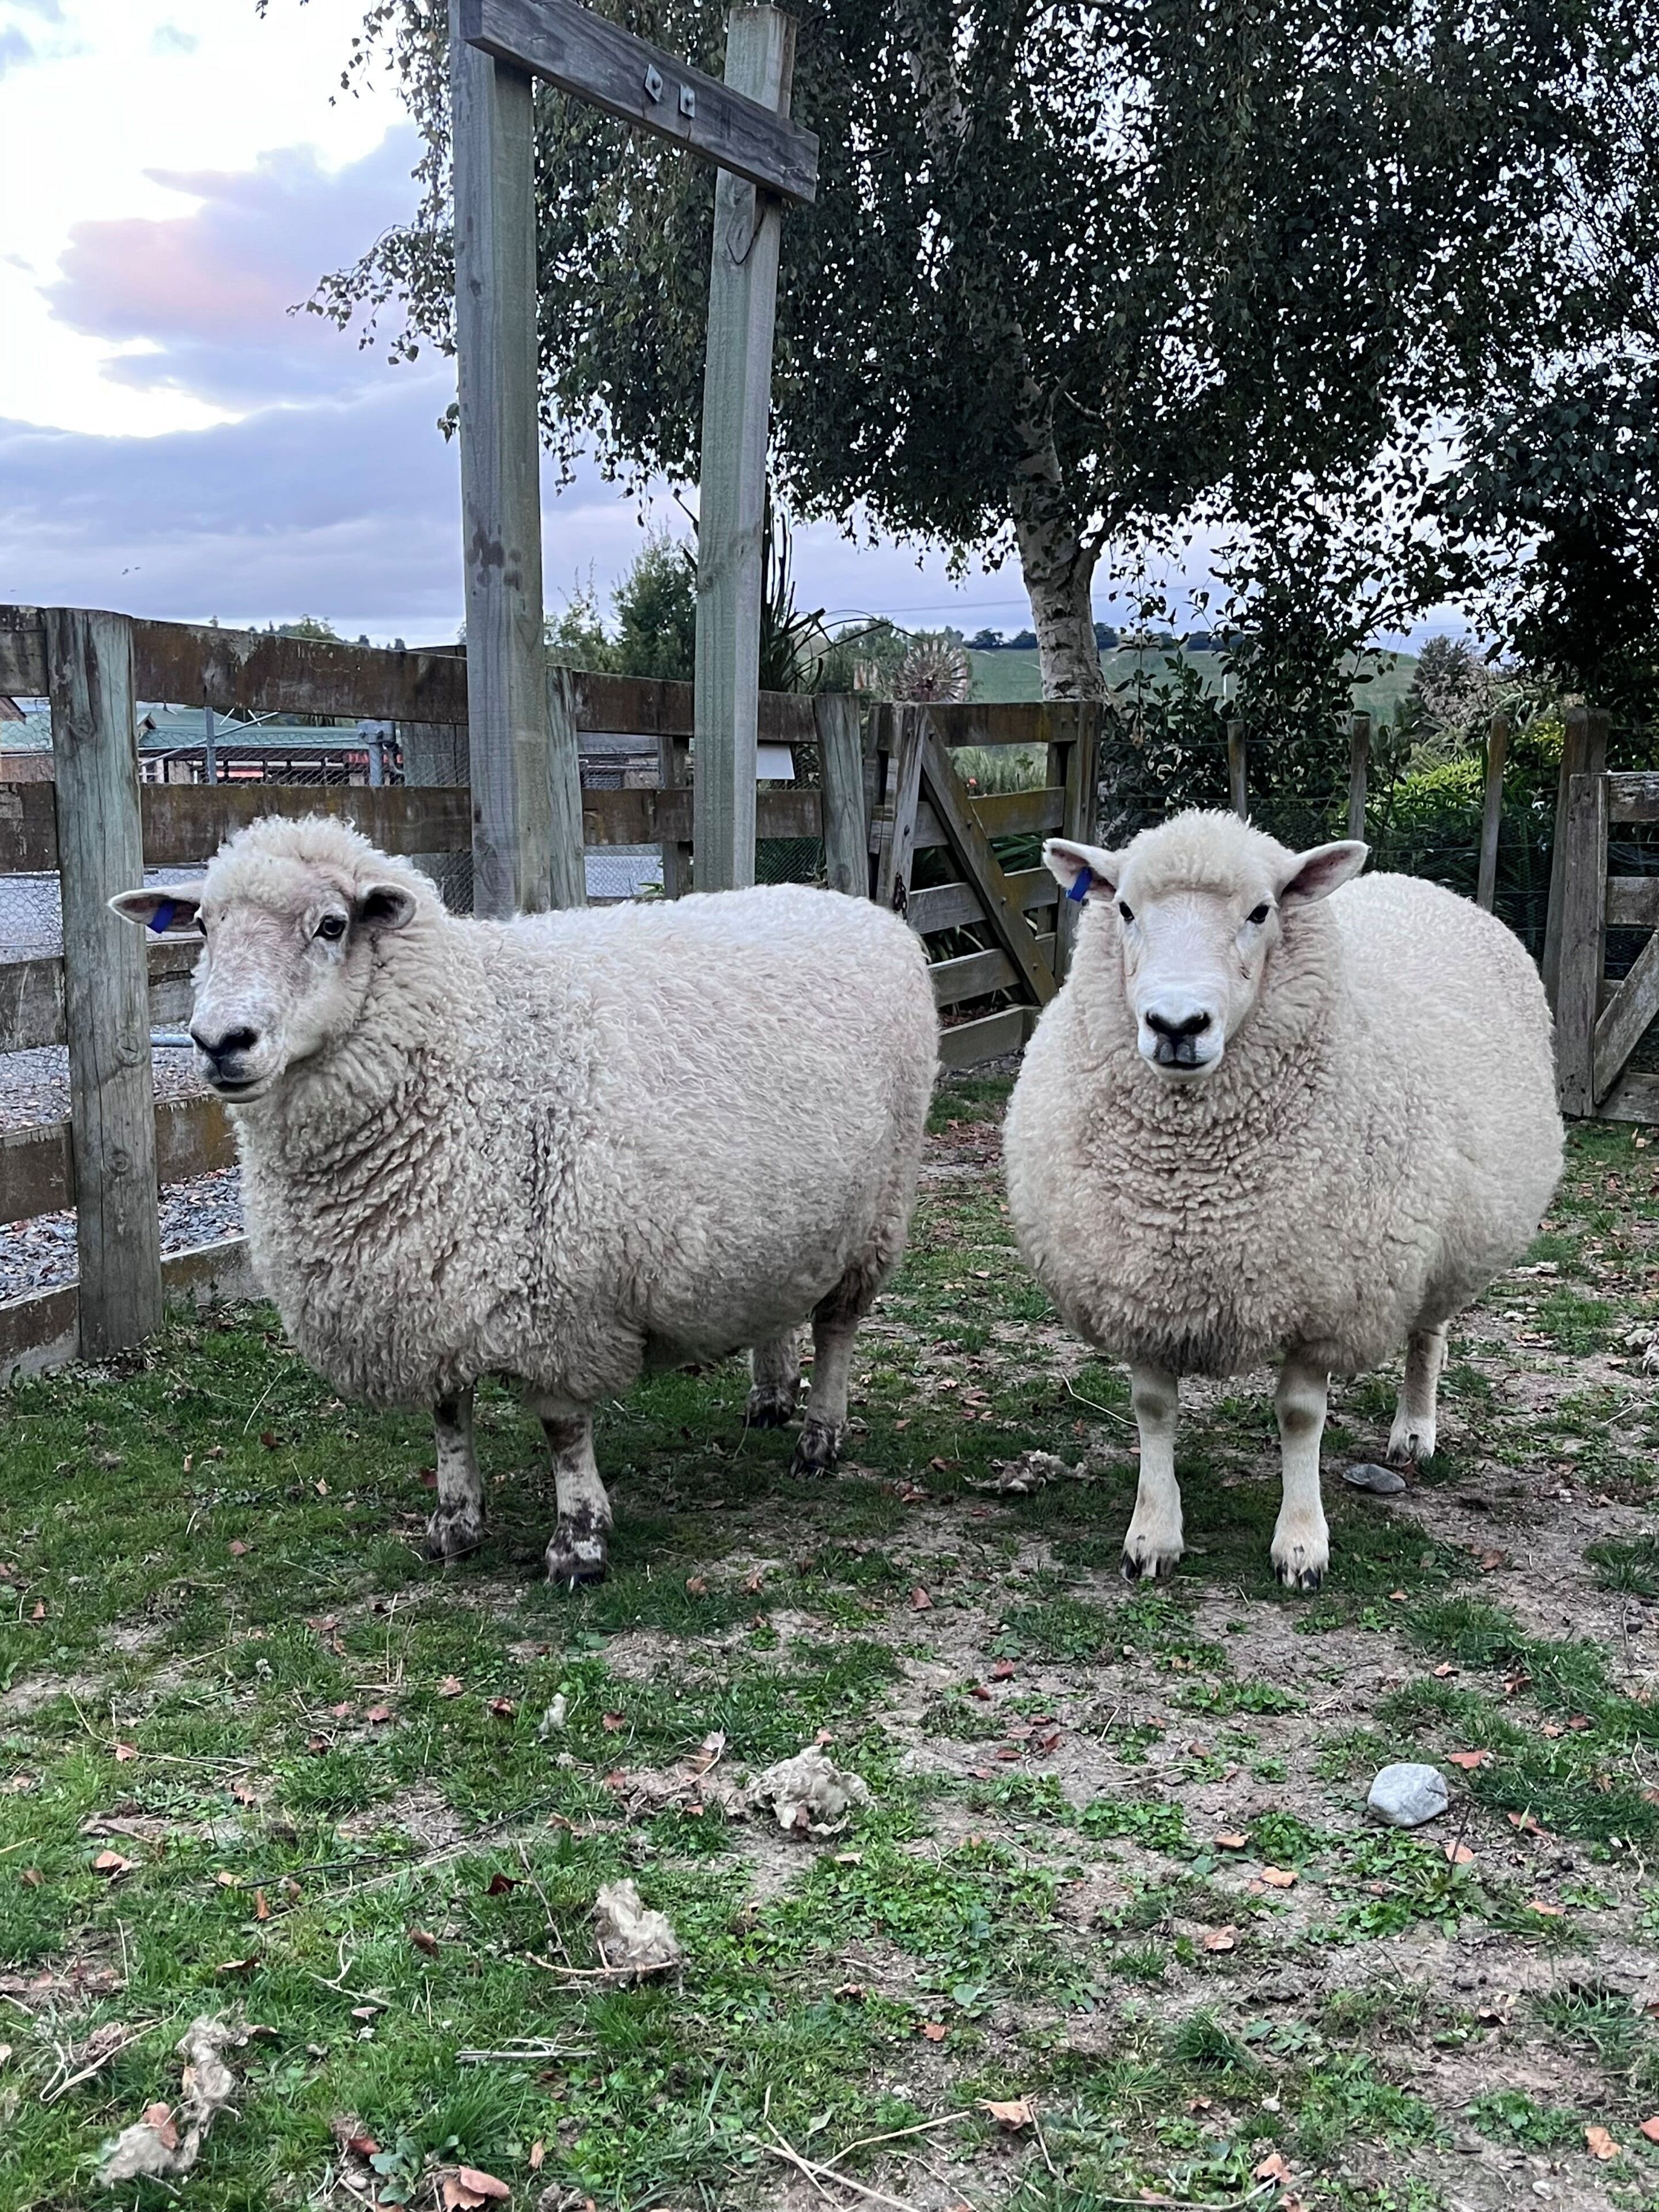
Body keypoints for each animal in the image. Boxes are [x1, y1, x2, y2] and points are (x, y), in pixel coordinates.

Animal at [113, 817, 937, 1584]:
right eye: (203, 924)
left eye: (332, 925)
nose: (220, 1042)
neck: (466, 1041)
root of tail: (853, 905)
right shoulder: (431, 1291)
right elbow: (448, 1417)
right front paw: (454, 1525)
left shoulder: (556, 1301)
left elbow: (563, 1432)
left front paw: (579, 1543)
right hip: (785, 1217)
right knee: (782, 1303)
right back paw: (770, 1396)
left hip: (878, 1209)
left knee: (838, 1325)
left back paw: (819, 1437)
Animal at [1003, 809, 1562, 1591]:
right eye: (1125, 910)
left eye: (1261, 911)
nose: (1177, 1026)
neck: (1194, 1184)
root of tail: (1419, 883)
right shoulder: (1141, 1286)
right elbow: (1153, 1409)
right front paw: (1153, 1535)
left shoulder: (1321, 1297)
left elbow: (1300, 1418)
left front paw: (1301, 1544)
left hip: (1438, 1249)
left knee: (1427, 1334)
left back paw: (1414, 1430)